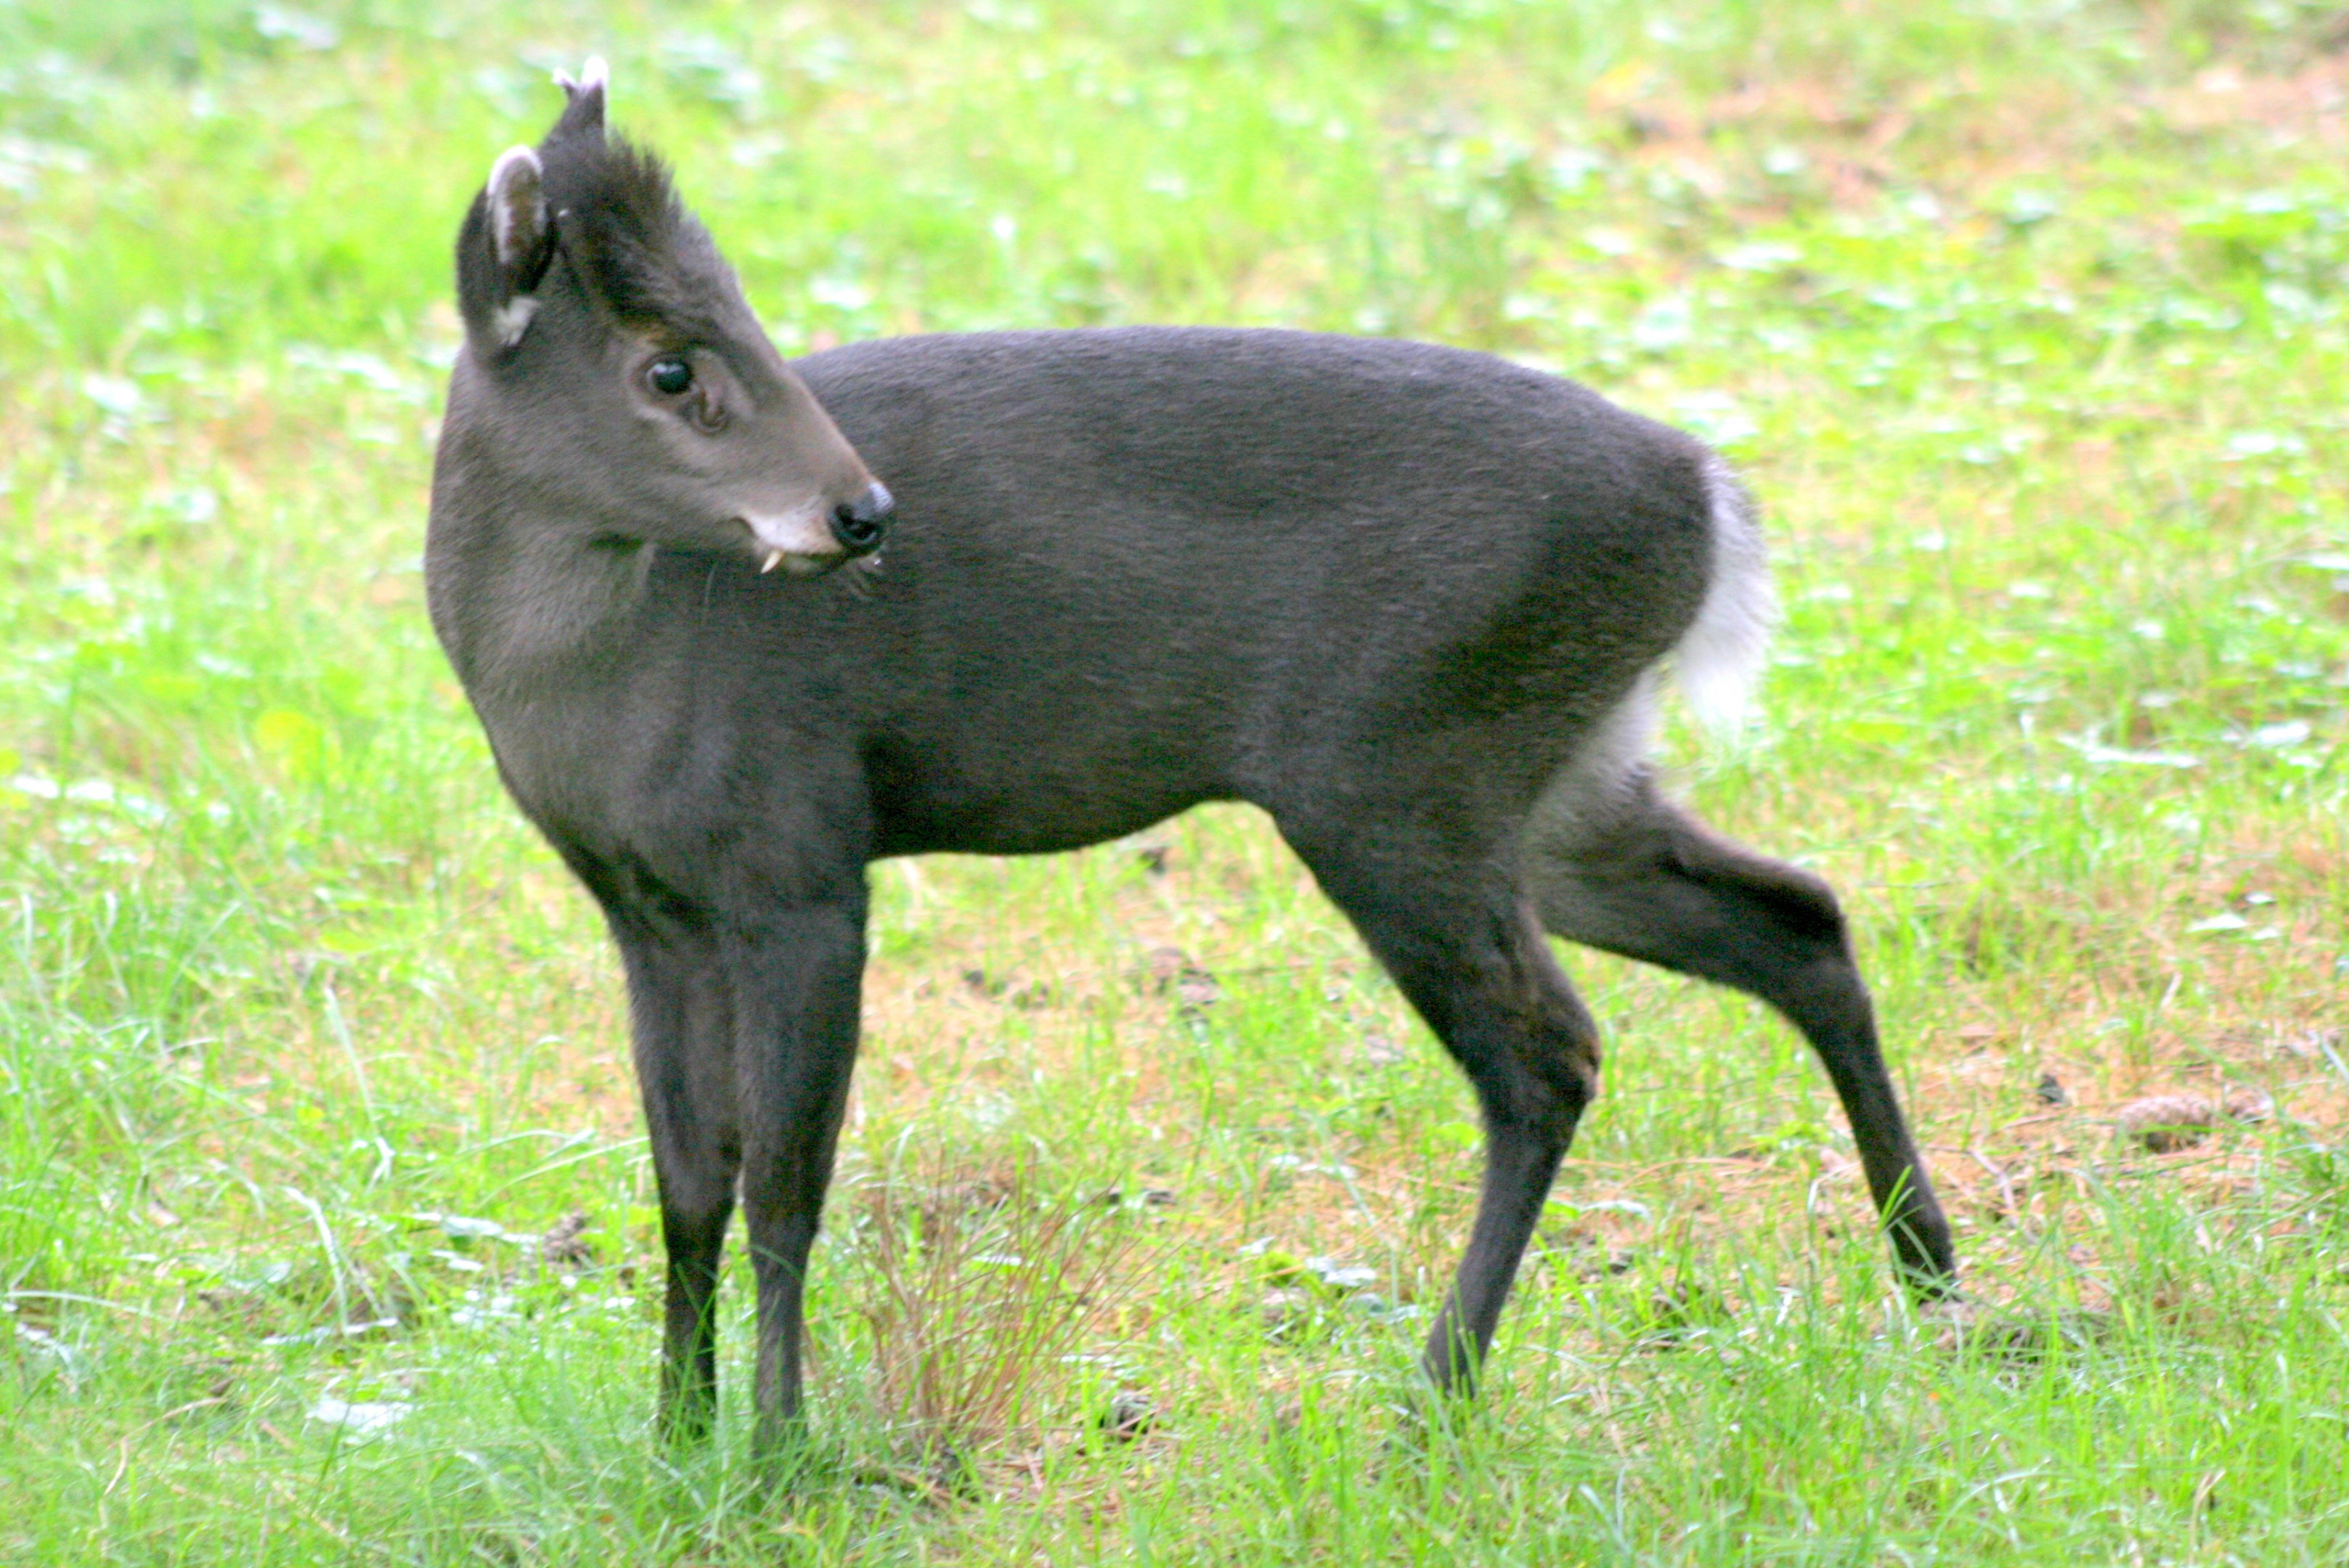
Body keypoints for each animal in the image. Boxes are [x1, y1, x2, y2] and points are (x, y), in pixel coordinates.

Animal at [426, 63, 1957, 1452]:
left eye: (743, 320)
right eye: (669, 362)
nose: (860, 511)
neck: (597, 676)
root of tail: (1706, 500)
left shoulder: (800, 863)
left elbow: (786, 1190)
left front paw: (777, 1456)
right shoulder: (644, 907)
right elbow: (688, 1181)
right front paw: (676, 1438)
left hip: (1400, 771)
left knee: (1554, 1055)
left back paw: (1434, 1395)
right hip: (1551, 779)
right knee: (1795, 917)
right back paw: (1934, 1278)